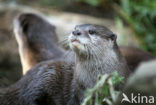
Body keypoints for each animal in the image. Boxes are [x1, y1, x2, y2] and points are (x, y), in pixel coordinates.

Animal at [0, 23, 130, 105]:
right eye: (75, 27)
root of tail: (21, 81)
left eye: (91, 31)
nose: (75, 32)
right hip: (44, 78)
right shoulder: (79, 92)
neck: (94, 81)